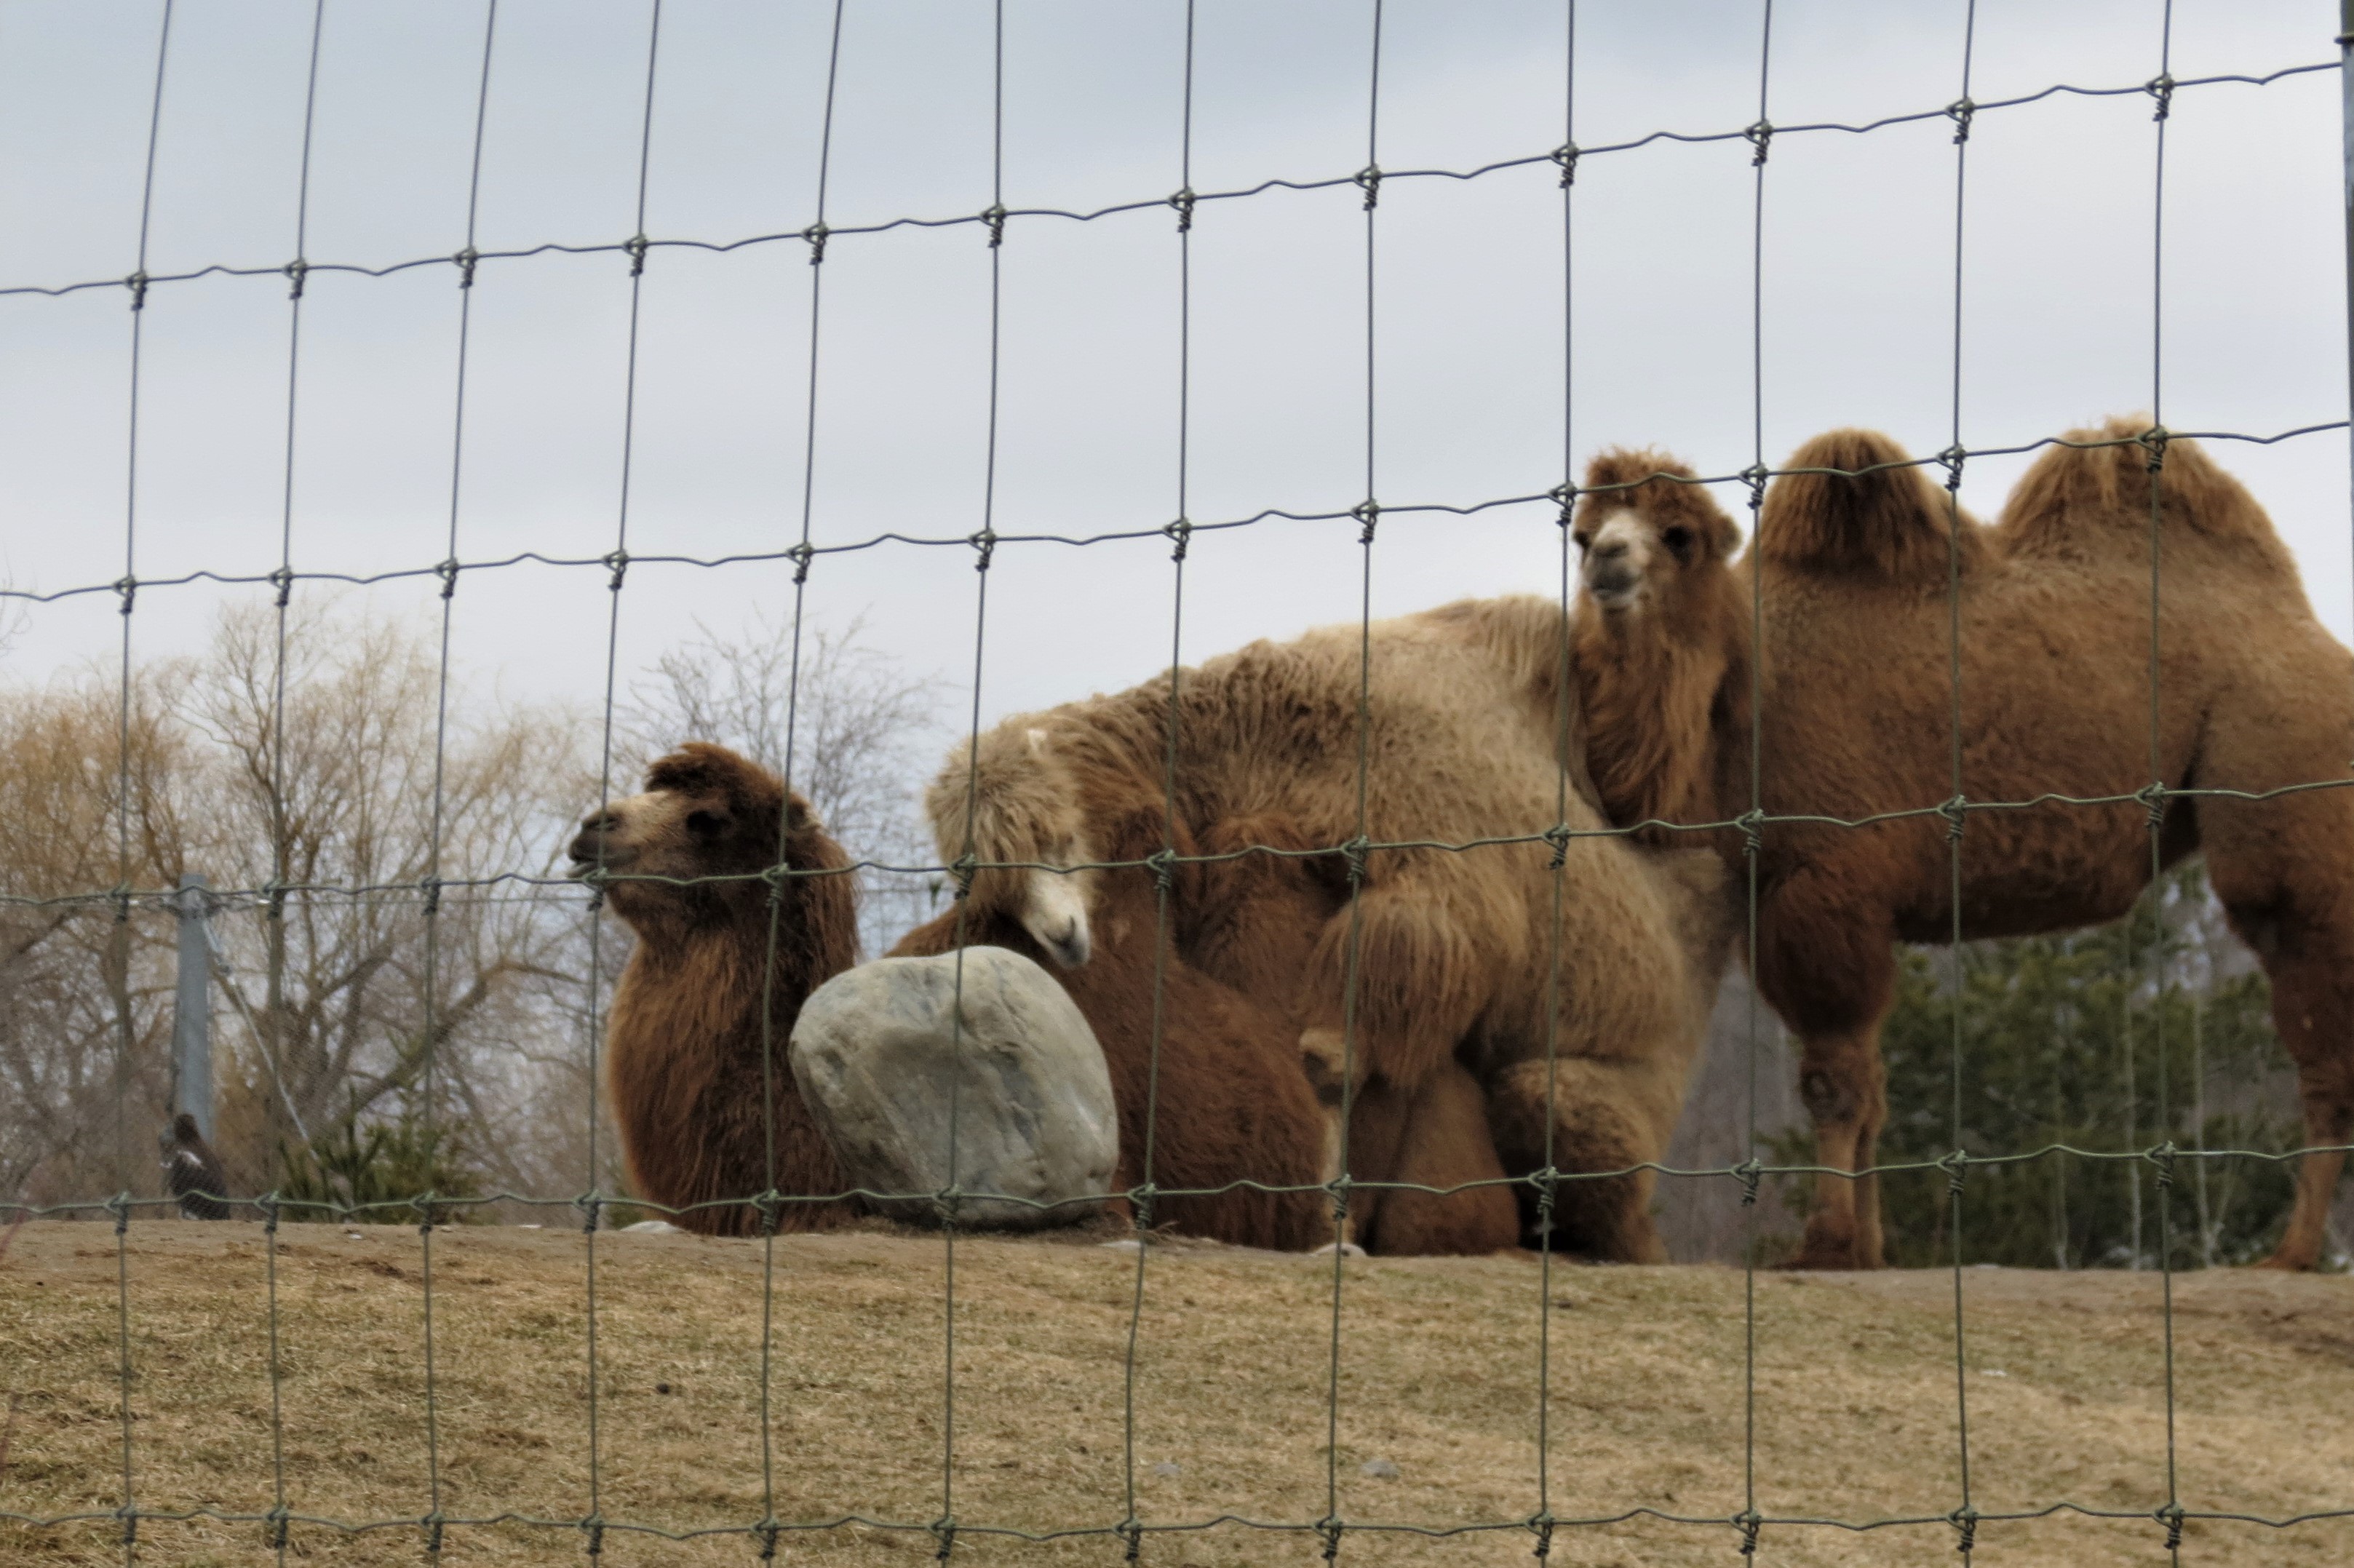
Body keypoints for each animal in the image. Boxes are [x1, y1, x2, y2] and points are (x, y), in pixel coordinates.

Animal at [927, 597, 1737, 1261]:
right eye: (995, 881)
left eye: (1058, 836)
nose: (1062, 937)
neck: (1282, 735)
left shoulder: (1440, 884)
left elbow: (1339, 1050)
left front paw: (1329, 1222)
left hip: (1605, 1083)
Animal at [1566, 419, 2354, 1270]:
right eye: (1582, 533)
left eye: (1677, 535)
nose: (1608, 560)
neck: (1737, 686)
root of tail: (2311, 632)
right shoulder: (1780, 897)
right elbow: (1874, 1088)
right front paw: (1870, 1248)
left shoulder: (1828, 882)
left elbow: (1833, 1082)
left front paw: (1826, 1242)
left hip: (2281, 779)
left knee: (2320, 1041)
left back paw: (2292, 1251)